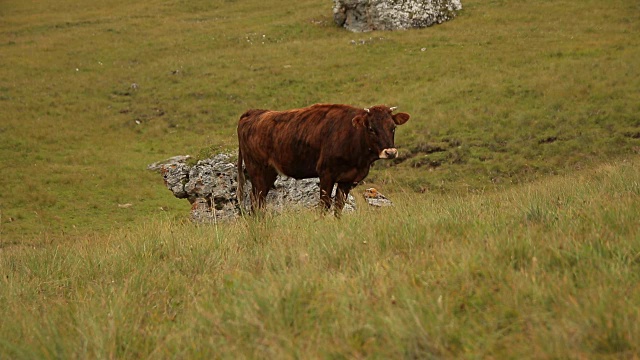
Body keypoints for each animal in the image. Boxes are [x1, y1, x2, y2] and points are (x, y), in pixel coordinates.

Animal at [236, 104, 410, 217]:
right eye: (371, 129)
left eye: (393, 127)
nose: (390, 152)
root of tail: (254, 112)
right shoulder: (326, 174)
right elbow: (324, 206)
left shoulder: (347, 179)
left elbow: (339, 207)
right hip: (257, 169)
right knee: (256, 201)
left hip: (269, 173)